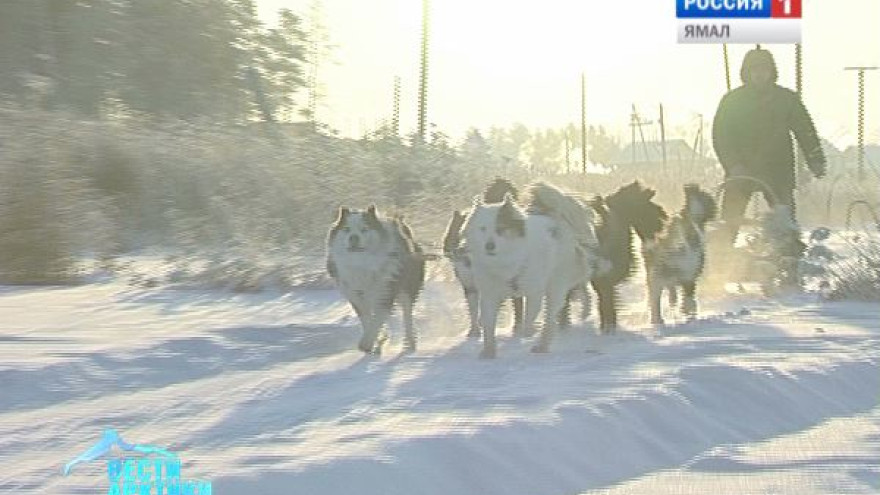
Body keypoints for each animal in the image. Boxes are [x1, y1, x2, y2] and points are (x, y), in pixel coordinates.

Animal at [328, 207, 428, 354]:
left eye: (364, 229)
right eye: (346, 229)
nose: (353, 237)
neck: (362, 264)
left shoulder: (385, 292)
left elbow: (377, 320)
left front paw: (367, 343)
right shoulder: (355, 295)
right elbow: (367, 320)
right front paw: (376, 338)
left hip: (406, 287)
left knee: (407, 314)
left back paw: (410, 342)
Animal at [460, 184, 604, 358]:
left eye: (500, 229)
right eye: (482, 229)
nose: (489, 246)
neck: (505, 261)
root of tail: (556, 217)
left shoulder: (534, 291)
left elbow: (529, 317)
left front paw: (528, 331)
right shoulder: (489, 294)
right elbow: (488, 323)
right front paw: (488, 352)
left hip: (555, 285)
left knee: (550, 319)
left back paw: (542, 345)